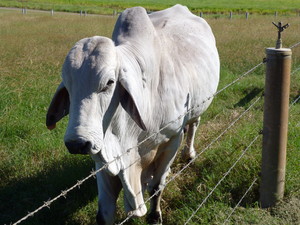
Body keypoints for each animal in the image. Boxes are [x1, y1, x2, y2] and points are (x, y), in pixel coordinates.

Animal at [45, 4, 219, 224]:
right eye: (67, 85)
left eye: (110, 82)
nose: (77, 143)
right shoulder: (103, 158)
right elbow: (104, 213)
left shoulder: (172, 139)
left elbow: (157, 187)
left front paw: (155, 216)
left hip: (197, 107)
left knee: (193, 125)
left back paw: (189, 154)